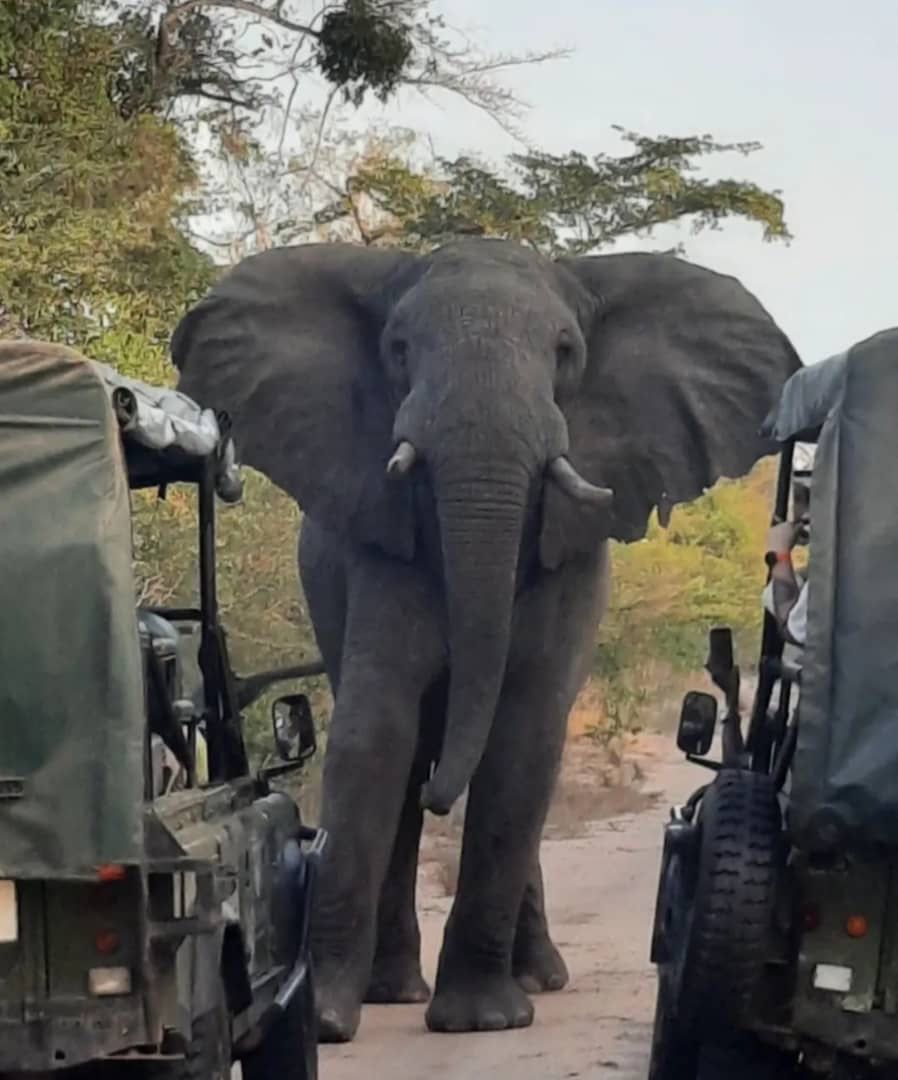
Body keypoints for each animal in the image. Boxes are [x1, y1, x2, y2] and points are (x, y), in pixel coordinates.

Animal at [170, 238, 801, 1041]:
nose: (443, 799)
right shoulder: (378, 547)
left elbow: (522, 740)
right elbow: (377, 732)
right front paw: (330, 1022)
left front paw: (481, 1021)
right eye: (399, 350)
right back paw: (396, 988)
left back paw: (538, 978)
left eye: (565, 352)